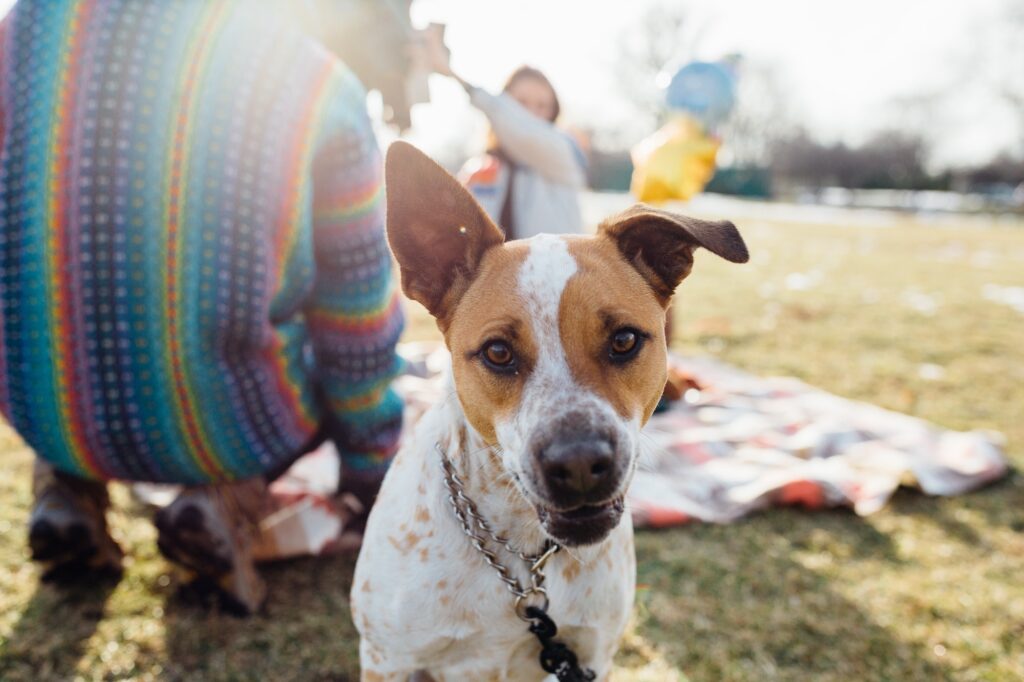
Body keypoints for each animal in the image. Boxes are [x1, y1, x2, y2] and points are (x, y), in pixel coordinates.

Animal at [350, 140, 745, 675]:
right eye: (498, 352)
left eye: (624, 340)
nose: (579, 464)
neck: (523, 556)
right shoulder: (387, 658)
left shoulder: (593, 651)